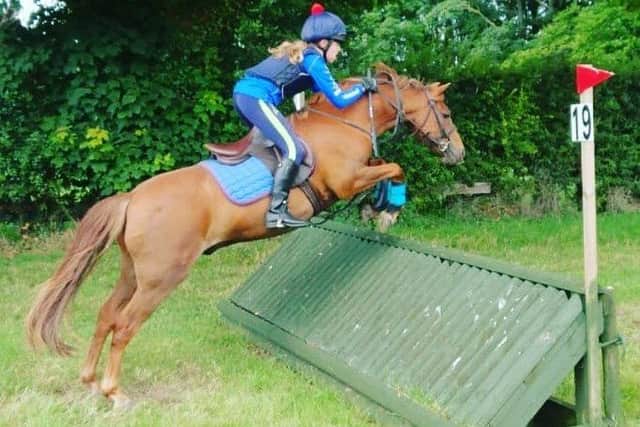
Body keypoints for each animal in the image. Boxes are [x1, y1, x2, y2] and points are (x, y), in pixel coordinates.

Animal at [25, 63, 464, 408]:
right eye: (444, 111)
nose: (457, 153)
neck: (343, 124)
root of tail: (132, 198)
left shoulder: (358, 172)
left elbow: (386, 166)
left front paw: (376, 207)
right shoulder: (346, 179)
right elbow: (394, 167)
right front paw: (387, 210)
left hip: (132, 272)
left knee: (105, 315)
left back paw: (88, 380)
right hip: (162, 278)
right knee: (125, 325)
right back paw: (114, 392)